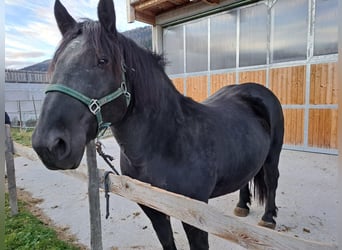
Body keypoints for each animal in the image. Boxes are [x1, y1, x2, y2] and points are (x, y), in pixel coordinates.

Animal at [32, 0, 284, 249]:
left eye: (103, 60)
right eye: (56, 64)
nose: (49, 145)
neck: (167, 143)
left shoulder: (195, 216)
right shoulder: (153, 208)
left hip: (273, 156)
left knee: (272, 180)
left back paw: (268, 218)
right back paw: (242, 206)